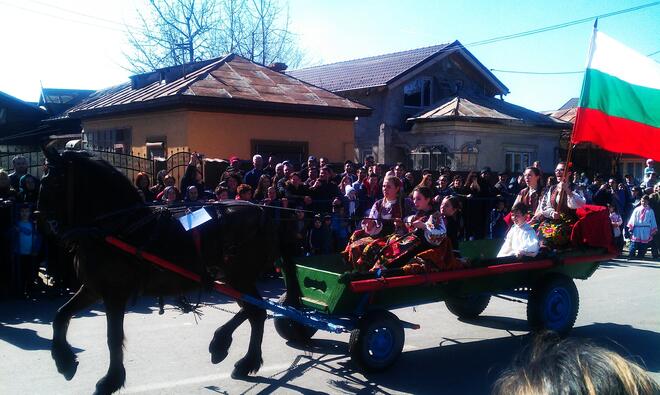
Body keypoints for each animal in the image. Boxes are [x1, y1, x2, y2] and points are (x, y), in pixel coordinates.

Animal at [36, 148, 294, 395]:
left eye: (55, 181)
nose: (39, 218)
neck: (118, 228)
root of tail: (263, 213)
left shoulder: (114, 294)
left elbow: (113, 337)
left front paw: (110, 381)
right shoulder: (92, 288)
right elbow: (60, 316)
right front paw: (64, 361)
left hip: (239, 278)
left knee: (256, 312)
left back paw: (243, 359)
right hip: (234, 279)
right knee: (252, 310)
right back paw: (223, 345)